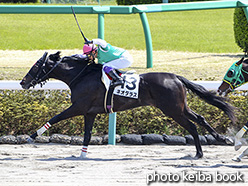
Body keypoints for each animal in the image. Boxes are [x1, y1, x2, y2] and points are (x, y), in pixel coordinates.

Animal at [20, 51, 235, 159]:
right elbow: (87, 134)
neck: (81, 76)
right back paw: (220, 139)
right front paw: (82, 155)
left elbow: (54, 118)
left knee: (191, 126)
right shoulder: (89, 112)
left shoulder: (79, 107)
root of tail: (176, 77)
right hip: (180, 107)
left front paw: (32, 136)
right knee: (200, 119)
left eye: (36, 65)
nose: (23, 82)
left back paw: (199, 153)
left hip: (172, 109)